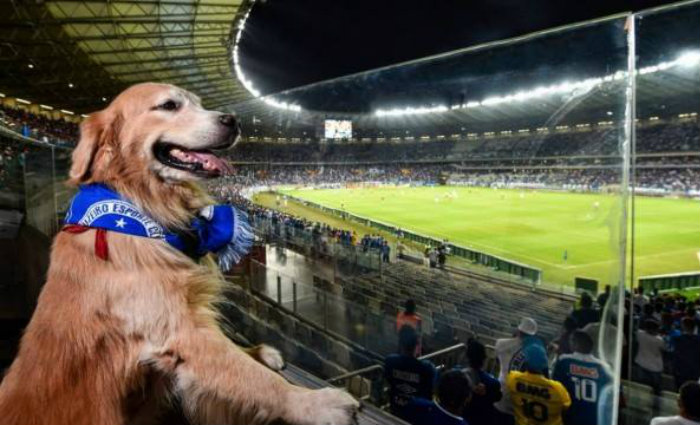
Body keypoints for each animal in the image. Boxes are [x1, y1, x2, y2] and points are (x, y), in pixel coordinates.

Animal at [0, 83, 358, 424]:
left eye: (199, 103)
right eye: (169, 105)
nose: (233, 120)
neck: (143, 209)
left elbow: (235, 356)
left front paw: (255, 350)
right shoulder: (177, 331)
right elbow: (253, 378)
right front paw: (314, 403)